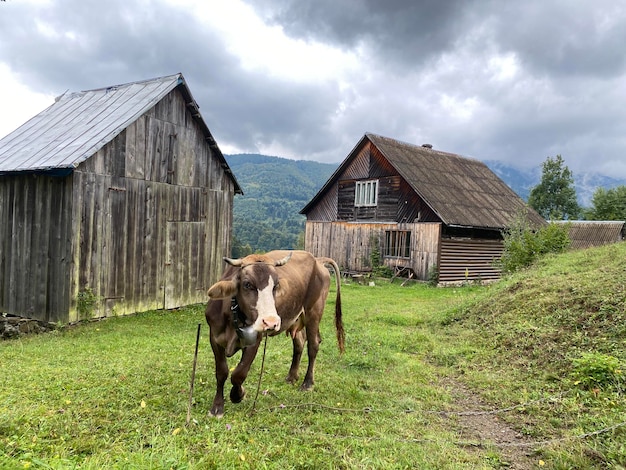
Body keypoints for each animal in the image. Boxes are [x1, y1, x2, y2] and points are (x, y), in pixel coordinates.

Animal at [204, 252, 342, 416]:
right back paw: (292, 376)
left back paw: (307, 383)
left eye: (275, 286)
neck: (233, 315)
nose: (271, 322)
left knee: (313, 345)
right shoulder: (214, 337)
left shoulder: (255, 339)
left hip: (314, 312)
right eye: (247, 284)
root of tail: (317, 260)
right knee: (299, 343)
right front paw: (217, 407)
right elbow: (222, 372)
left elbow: (239, 373)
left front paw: (238, 394)